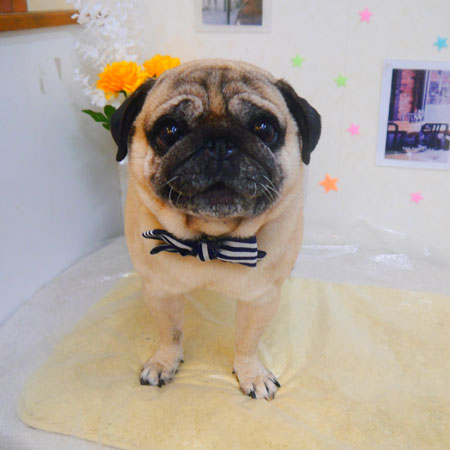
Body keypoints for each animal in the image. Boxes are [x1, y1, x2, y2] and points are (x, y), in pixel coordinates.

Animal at [110, 59, 320, 400]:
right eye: (169, 130)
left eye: (265, 129)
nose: (220, 143)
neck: (210, 239)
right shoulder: (160, 291)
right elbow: (170, 332)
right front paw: (163, 363)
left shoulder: (260, 298)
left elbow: (247, 342)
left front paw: (252, 375)